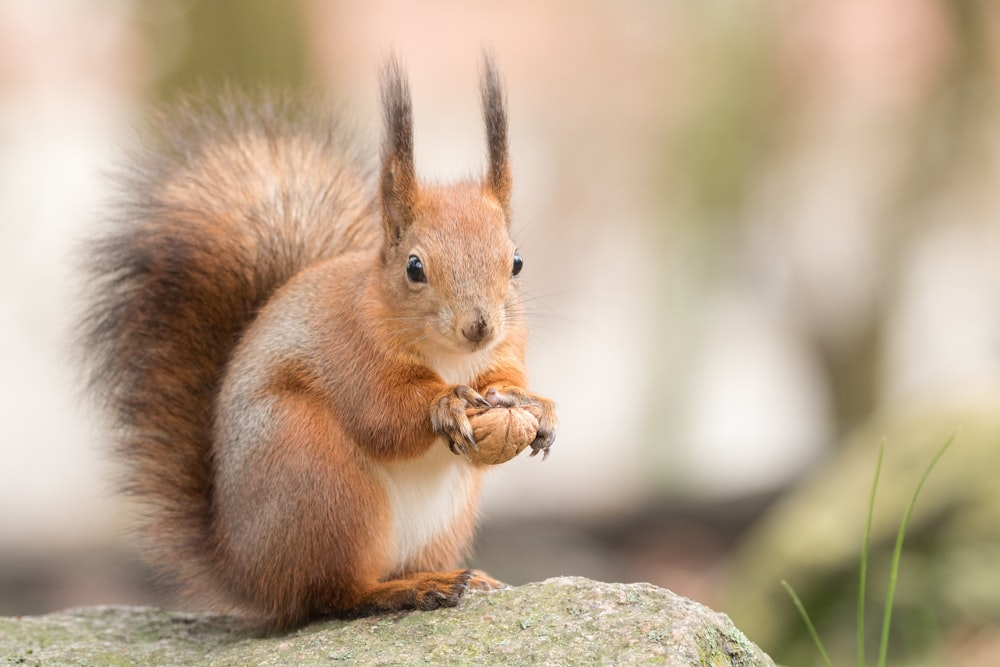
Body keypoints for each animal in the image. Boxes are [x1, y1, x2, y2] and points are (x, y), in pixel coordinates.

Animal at [80, 54, 556, 628]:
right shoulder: (352, 350)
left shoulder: (507, 347)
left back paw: (457, 578)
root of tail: (244, 571)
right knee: (330, 593)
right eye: (414, 267)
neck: (450, 357)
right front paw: (446, 404)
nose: (478, 327)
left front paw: (535, 406)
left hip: (442, 519)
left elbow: (505, 380)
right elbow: (382, 415)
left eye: (517, 262)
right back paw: (406, 590)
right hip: (320, 478)